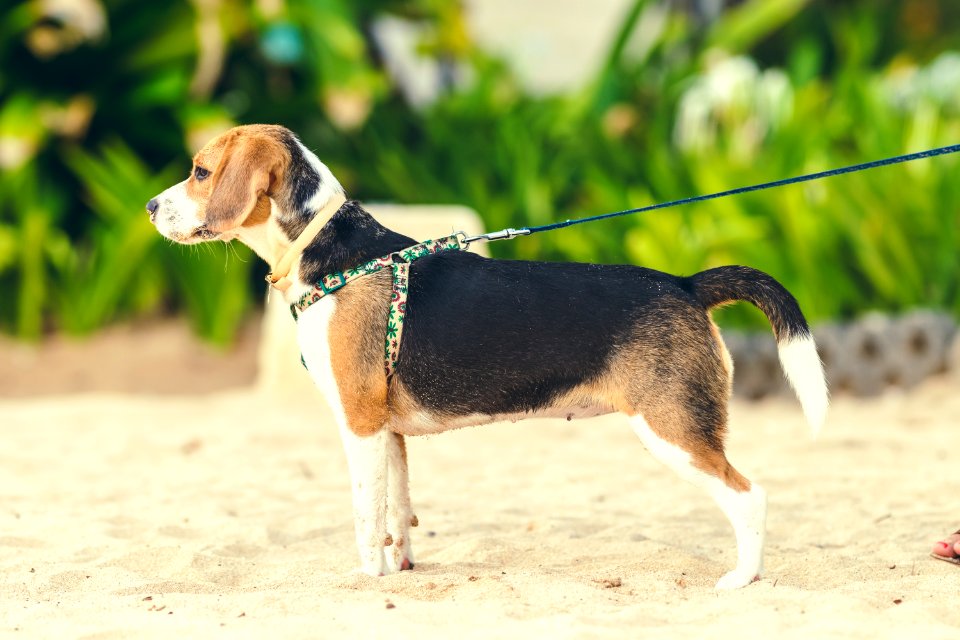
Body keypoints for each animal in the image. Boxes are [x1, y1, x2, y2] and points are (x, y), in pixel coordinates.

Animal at [148, 124, 824, 592]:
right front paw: (401, 568)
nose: (151, 208)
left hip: (673, 429)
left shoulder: (359, 423)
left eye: (201, 172)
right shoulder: (389, 431)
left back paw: (742, 579)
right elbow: (397, 512)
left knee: (749, 496)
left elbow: (365, 516)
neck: (330, 251)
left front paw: (367, 579)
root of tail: (685, 283)